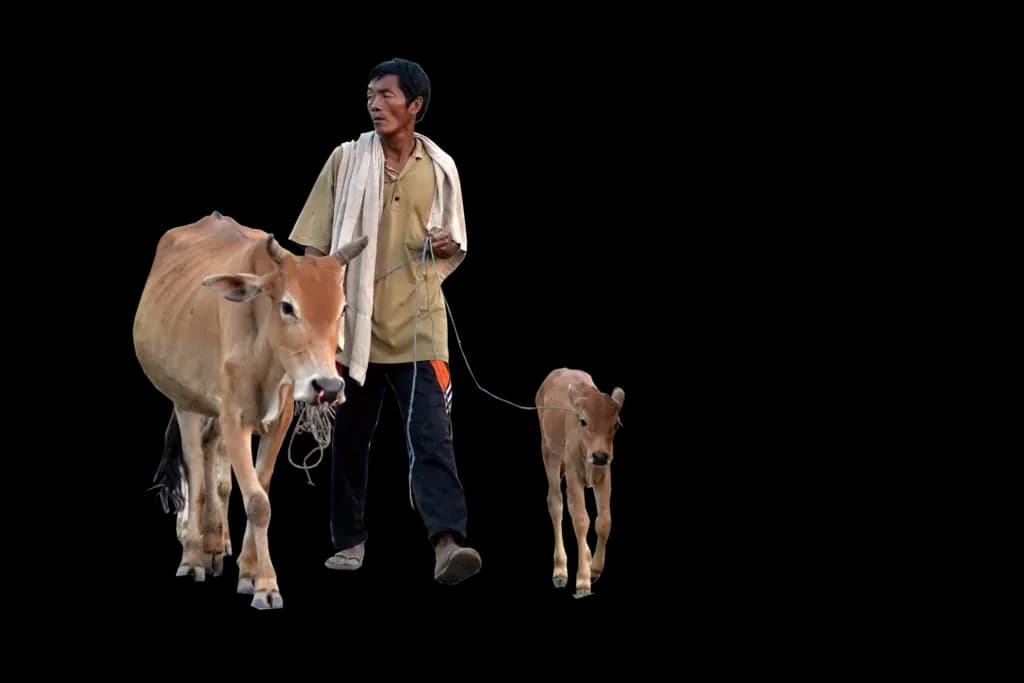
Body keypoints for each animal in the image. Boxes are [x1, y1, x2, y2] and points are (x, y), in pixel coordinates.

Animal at [133, 211, 368, 609]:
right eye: (287, 306)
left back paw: (216, 542)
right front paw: (266, 586)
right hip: (184, 402)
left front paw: (249, 573)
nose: (329, 387)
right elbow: (255, 501)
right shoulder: (234, 418)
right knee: (196, 473)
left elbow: (258, 490)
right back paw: (193, 555)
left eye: (342, 309)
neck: (265, 356)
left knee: (216, 468)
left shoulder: (278, 421)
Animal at [535, 368, 624, 598]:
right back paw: (560, 570)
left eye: (616, 424)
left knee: (570, 504)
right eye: (583, 421)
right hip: (549, 452)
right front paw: (583, 580)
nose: (600, 455)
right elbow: (581, 520)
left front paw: (594, 569)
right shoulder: (573, 473)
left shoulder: (605, 473)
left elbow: (604, 521)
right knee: (556, 503)